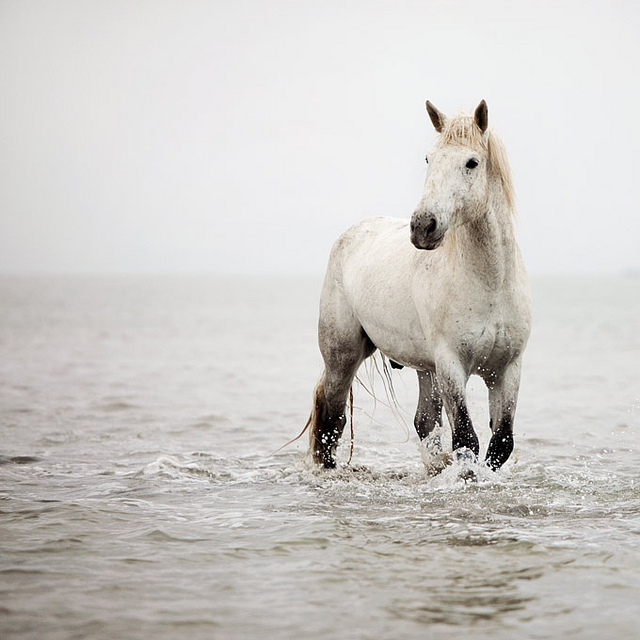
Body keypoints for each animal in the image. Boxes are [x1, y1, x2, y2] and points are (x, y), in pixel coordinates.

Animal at [308, 100, 532, 470]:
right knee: (331, 421)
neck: (491, 285)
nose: (423, 226)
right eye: (429, 159)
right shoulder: (451, 365)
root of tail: (351, 234)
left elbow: (501, 443)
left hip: (426, 370)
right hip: (342, 356)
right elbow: (466, 440)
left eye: (471, 162)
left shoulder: (507, 370)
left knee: (424, 421)